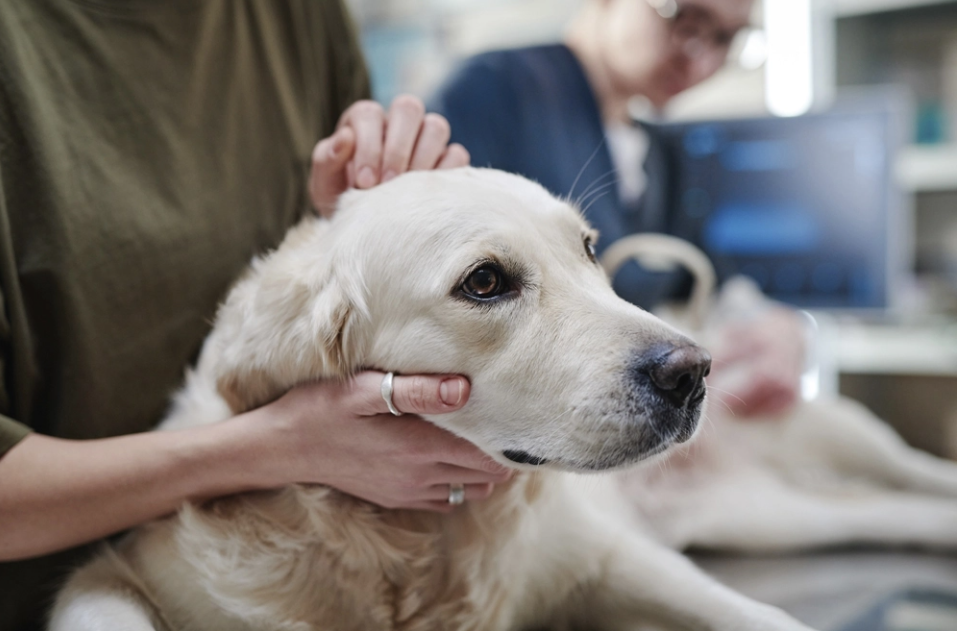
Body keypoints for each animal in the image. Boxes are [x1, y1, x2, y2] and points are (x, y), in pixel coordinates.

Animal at [48, 168, 956, 631]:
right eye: (484, 282)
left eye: (588, 250)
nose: (693, 371)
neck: (413, 541)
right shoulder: (114, 570)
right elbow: (105, 611)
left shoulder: (614, 558)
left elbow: (761, 618)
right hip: (775, 515)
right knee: (898, 512)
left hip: (837, 447)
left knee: (915, 472)